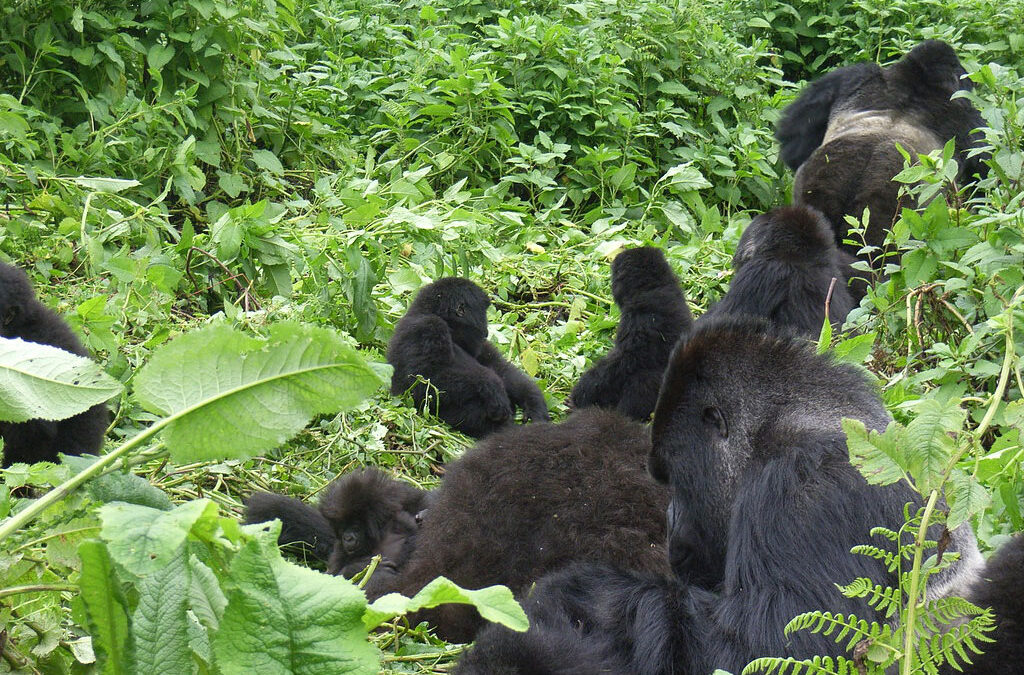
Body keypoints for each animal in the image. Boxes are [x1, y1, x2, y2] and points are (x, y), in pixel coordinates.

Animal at [387, 277, 548, 438]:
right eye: (483, 312)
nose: (486, 330)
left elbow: (500, 368)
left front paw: (534, 403)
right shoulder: (428, 326)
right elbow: (423, 380)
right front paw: (490, 385)